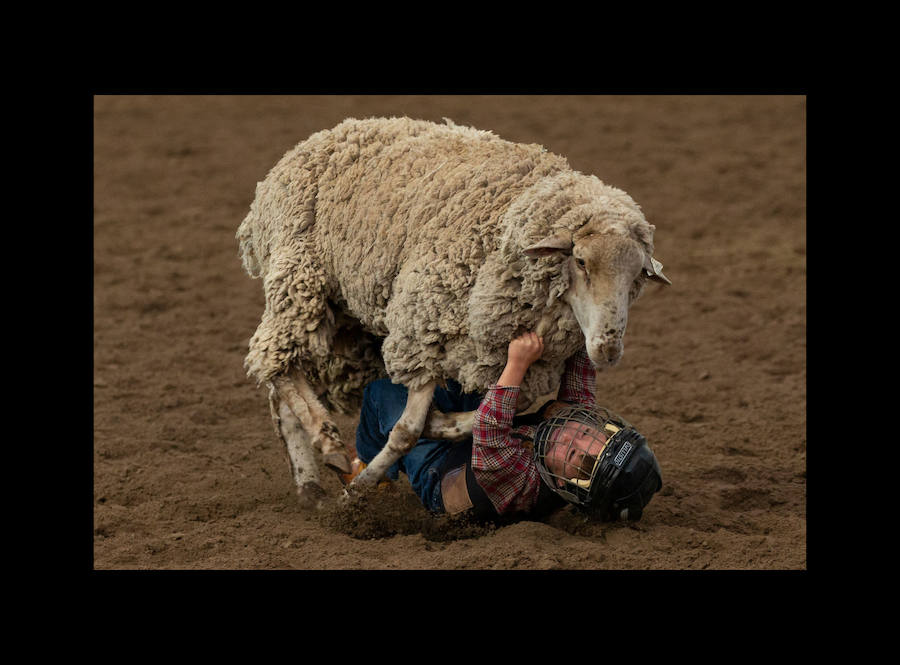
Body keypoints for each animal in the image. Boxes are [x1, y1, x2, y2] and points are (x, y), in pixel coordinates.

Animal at [236, 116, 672, 506]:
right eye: (580, 261)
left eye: (638, 275)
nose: (607, 349)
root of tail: (317, 139)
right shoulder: (422, 328)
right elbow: (409, 429)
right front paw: (359, 490)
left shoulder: (490, 357)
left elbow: (482, 417)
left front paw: (438, 426)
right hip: (300, 277)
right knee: (274, 361)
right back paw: (329, 446)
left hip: (344, 316)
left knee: (280, 380)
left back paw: (310, 483)